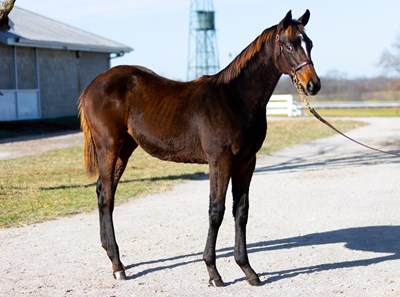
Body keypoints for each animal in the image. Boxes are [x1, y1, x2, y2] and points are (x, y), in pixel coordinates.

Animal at [77, 10, 322, 286]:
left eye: (310, 44)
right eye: (289, 46)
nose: (313, 84)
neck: (235, 99)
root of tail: (92, 86)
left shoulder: (247, 162)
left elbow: (241, 211)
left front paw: (248, 270)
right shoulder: (220, 161)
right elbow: (216, 210)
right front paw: (213, 272)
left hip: (124, 148)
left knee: (103, 190)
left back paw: (112, 257)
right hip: (108, 146)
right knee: (107, 196)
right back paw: (118, 266)